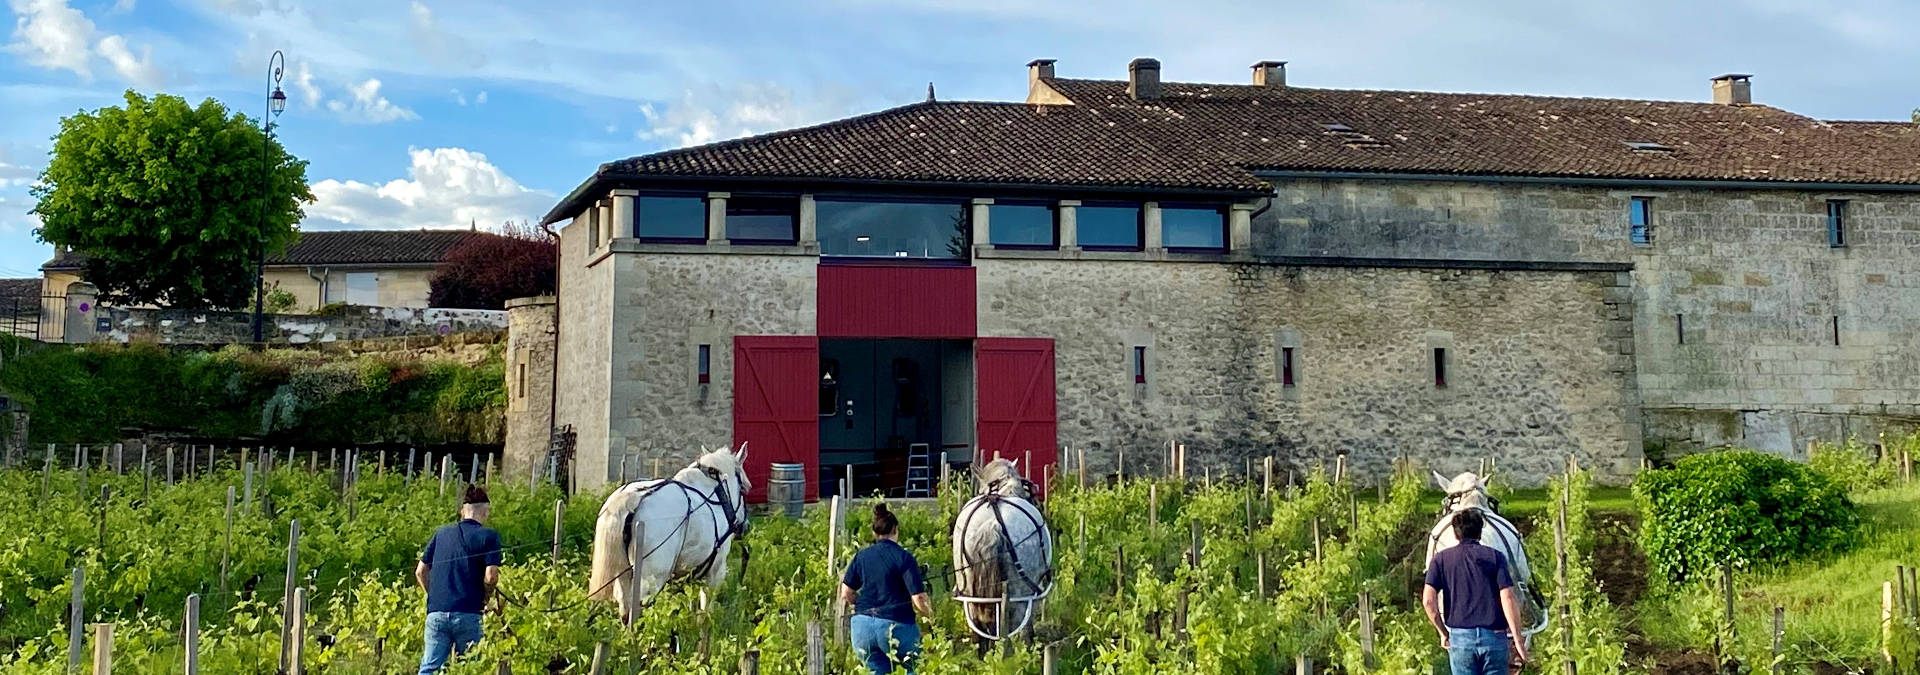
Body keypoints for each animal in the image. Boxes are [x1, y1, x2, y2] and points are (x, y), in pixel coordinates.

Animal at [591, 442, 748, 621]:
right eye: (743, 488)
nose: (745, 526)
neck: (717, 493)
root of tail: (629, 499)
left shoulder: (691, 572)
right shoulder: (715, 571)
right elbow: (705, 609)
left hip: (622, 576)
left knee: (625, 609)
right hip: (651, 579)